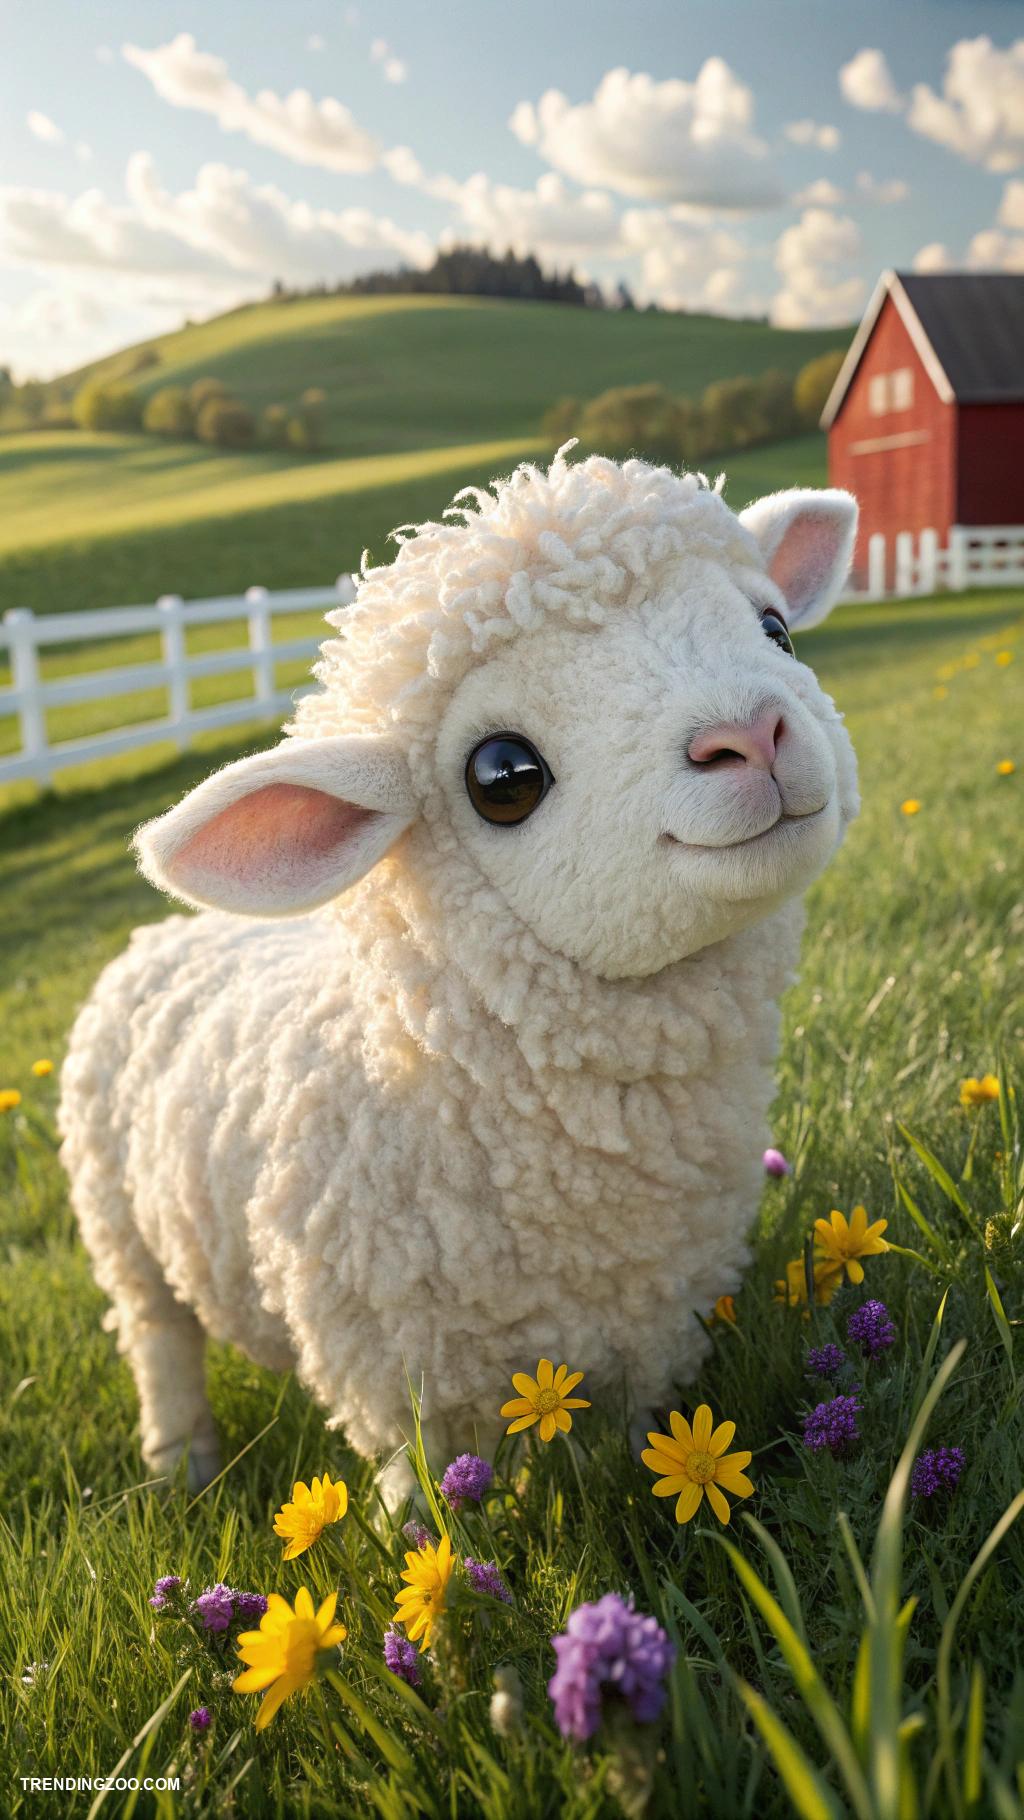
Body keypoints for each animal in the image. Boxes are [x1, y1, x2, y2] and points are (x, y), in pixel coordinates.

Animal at [59, 452, 858, 1505]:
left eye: (776, 630)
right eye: (502, 776)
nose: (754, 735)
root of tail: (161, 931)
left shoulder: (655, 1326)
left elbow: (636, 1447)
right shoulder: (395, 1377)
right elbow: (426, 1507)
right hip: (121, 1231)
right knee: (160, 1340)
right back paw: (180, 1460)